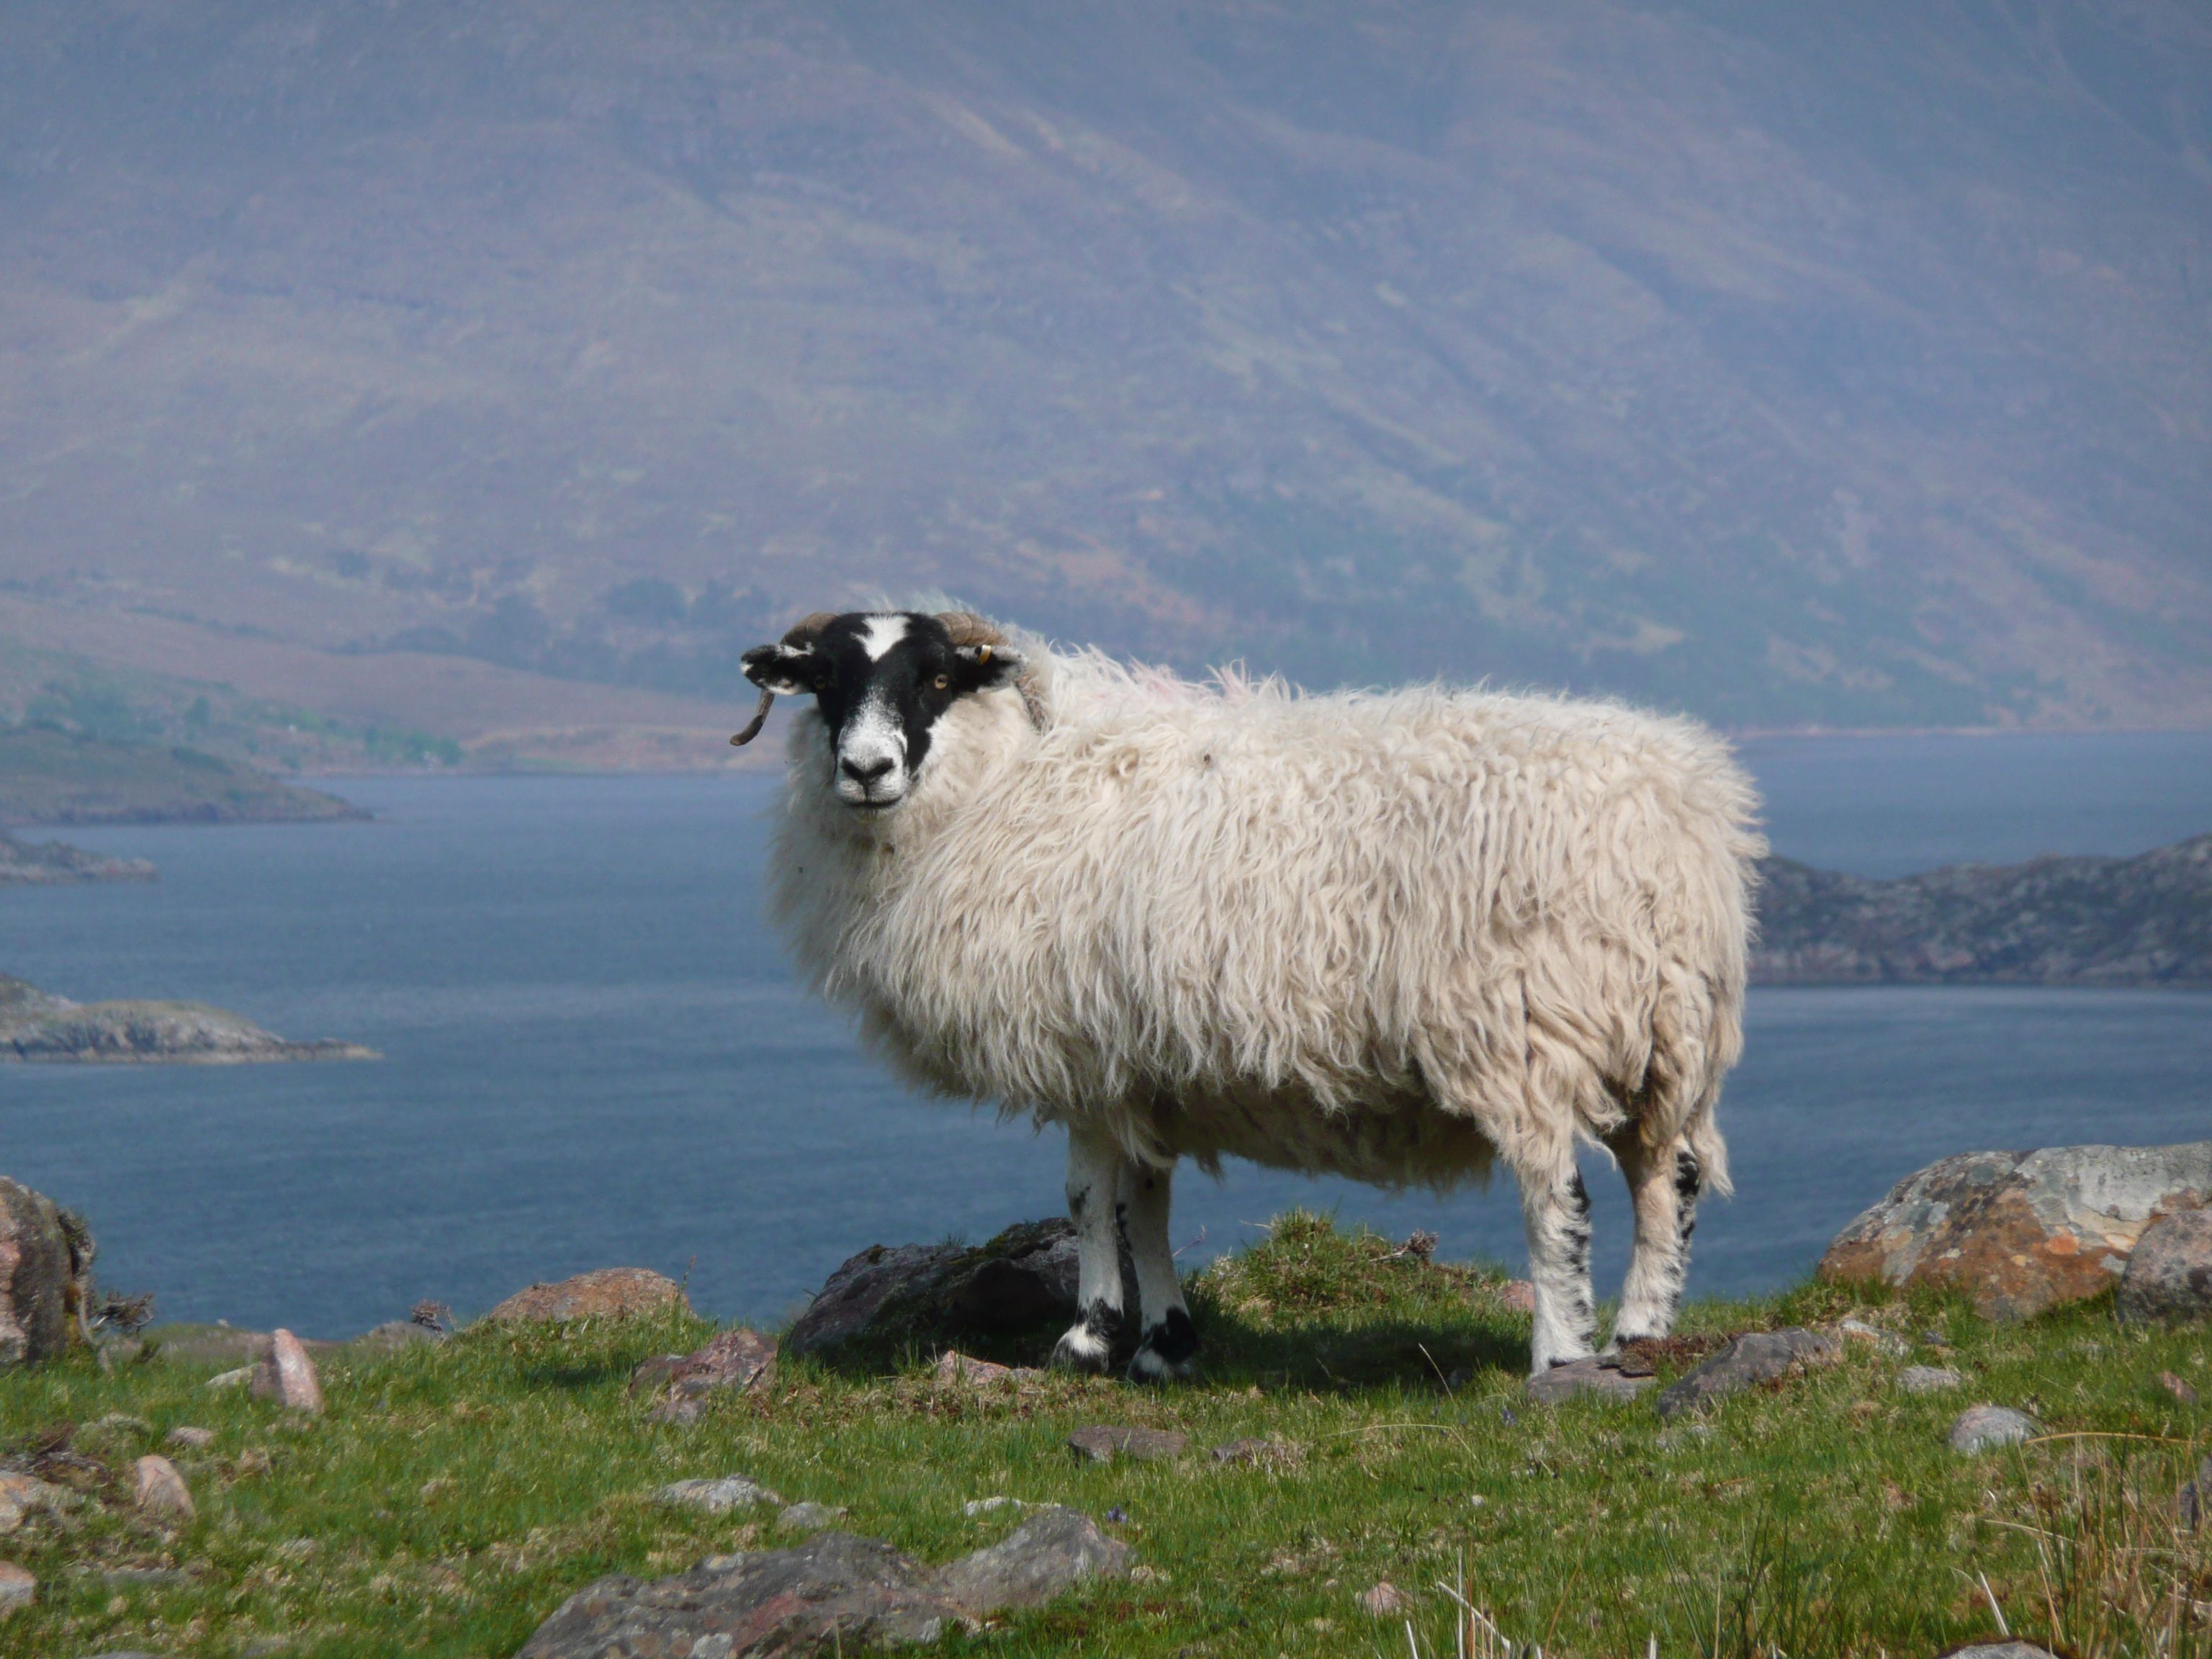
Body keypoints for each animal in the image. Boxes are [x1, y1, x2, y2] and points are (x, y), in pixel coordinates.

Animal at [735, 609, 1764, 1378]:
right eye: (825, 680)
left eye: (938, 680)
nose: (866, 770)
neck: (1001, 781)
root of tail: (1671, 815)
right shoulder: (1142, 1060)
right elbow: (1144, 1199)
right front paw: (1164, 1344)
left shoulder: (1081, 1046)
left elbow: (1086, 1195)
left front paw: (1088, 1338)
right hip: (1664, 1035)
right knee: (1667, 1175)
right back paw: (1639, 1334)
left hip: (1526, 1027)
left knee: (1561, 1196)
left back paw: (1559, 1355)